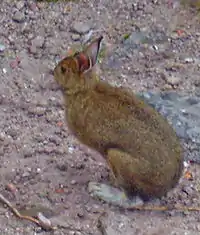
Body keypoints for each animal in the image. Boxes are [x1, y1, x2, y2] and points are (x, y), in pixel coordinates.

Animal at [52, 36, 183, 209]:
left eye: (63, 69)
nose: (53, 71)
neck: (84, 88)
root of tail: (166, 187)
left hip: (118, 159)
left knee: (133, 199)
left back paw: (100, 190)